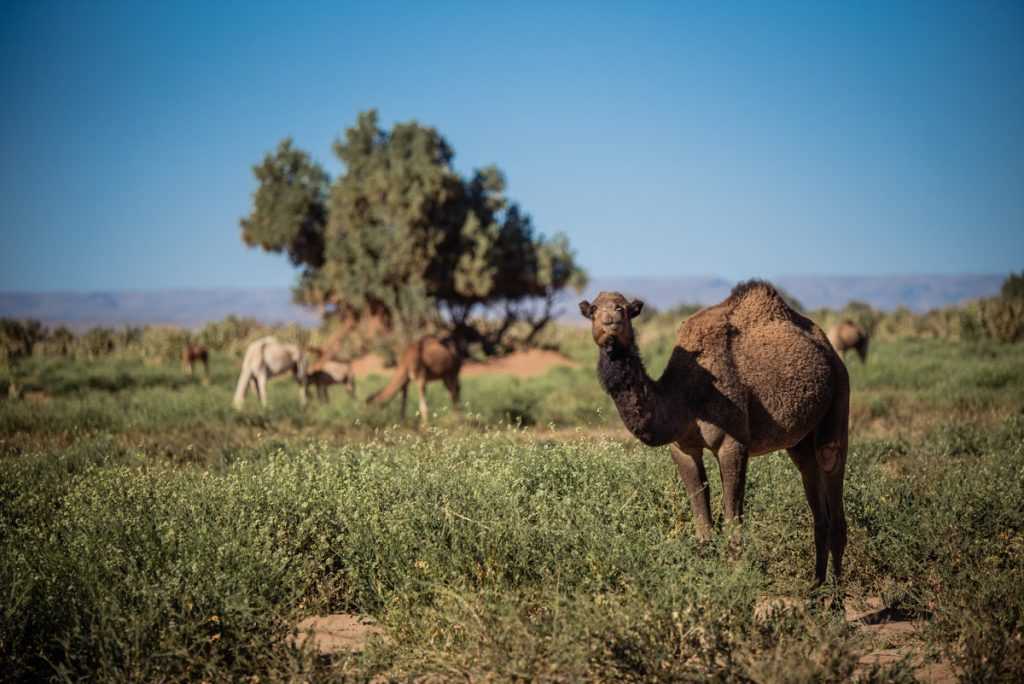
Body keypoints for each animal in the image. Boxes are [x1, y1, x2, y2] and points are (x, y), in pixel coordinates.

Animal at [581, 280, 851, 585]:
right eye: (593, 310)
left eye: (623, 309)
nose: (610, 323)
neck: (684, 397)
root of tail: (828, 346)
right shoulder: (683, 448)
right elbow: (702, 519)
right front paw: (705, 576)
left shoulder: (732, 443)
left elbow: (733, 517)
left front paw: (735, 578)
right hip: (800, 440)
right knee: (811, 481)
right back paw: (816, 584)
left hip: (840, 391)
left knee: (830, 463)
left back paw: (837, 590)